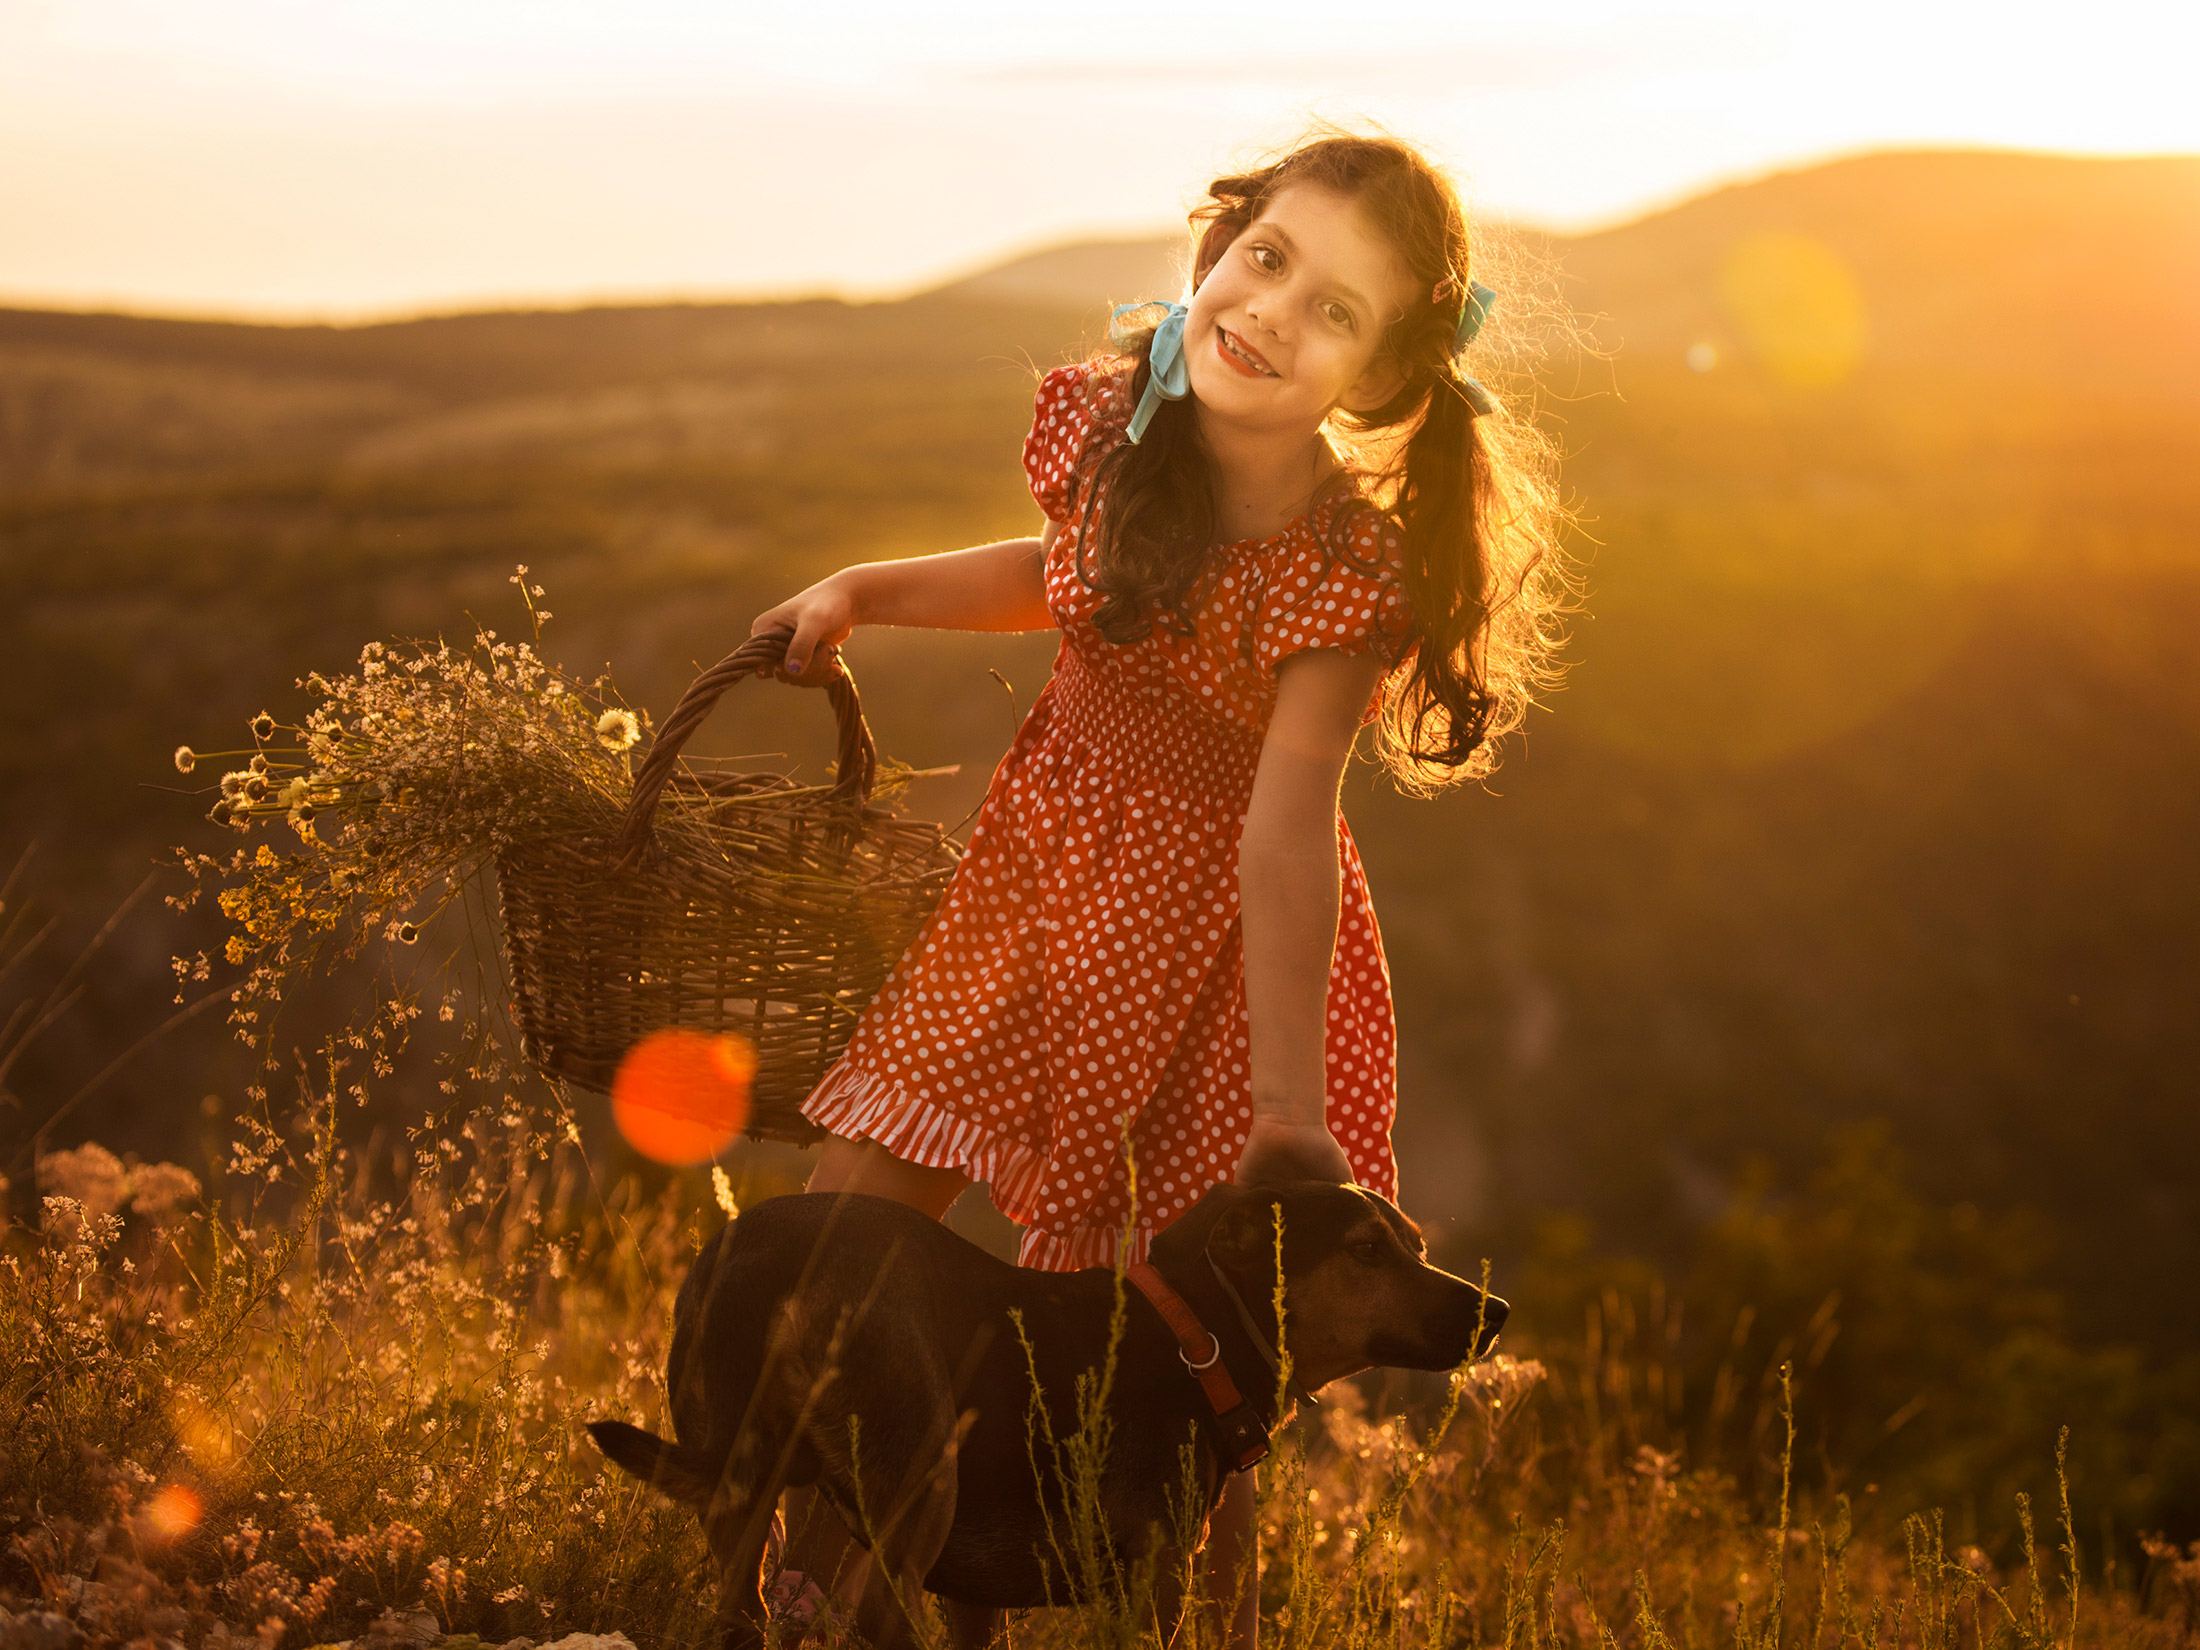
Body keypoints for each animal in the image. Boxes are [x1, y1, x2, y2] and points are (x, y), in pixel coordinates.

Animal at [594, 1188, 1504, 1650]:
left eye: (1417, 1244)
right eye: (1365, 1251)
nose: (1494, 1313)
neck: (1194, 1335)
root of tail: (770, 1256)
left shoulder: (973, 1596)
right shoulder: (1158, 1574)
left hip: (743, 1497)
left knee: (741, 1608)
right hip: (923, 1470)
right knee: (880, 1613)